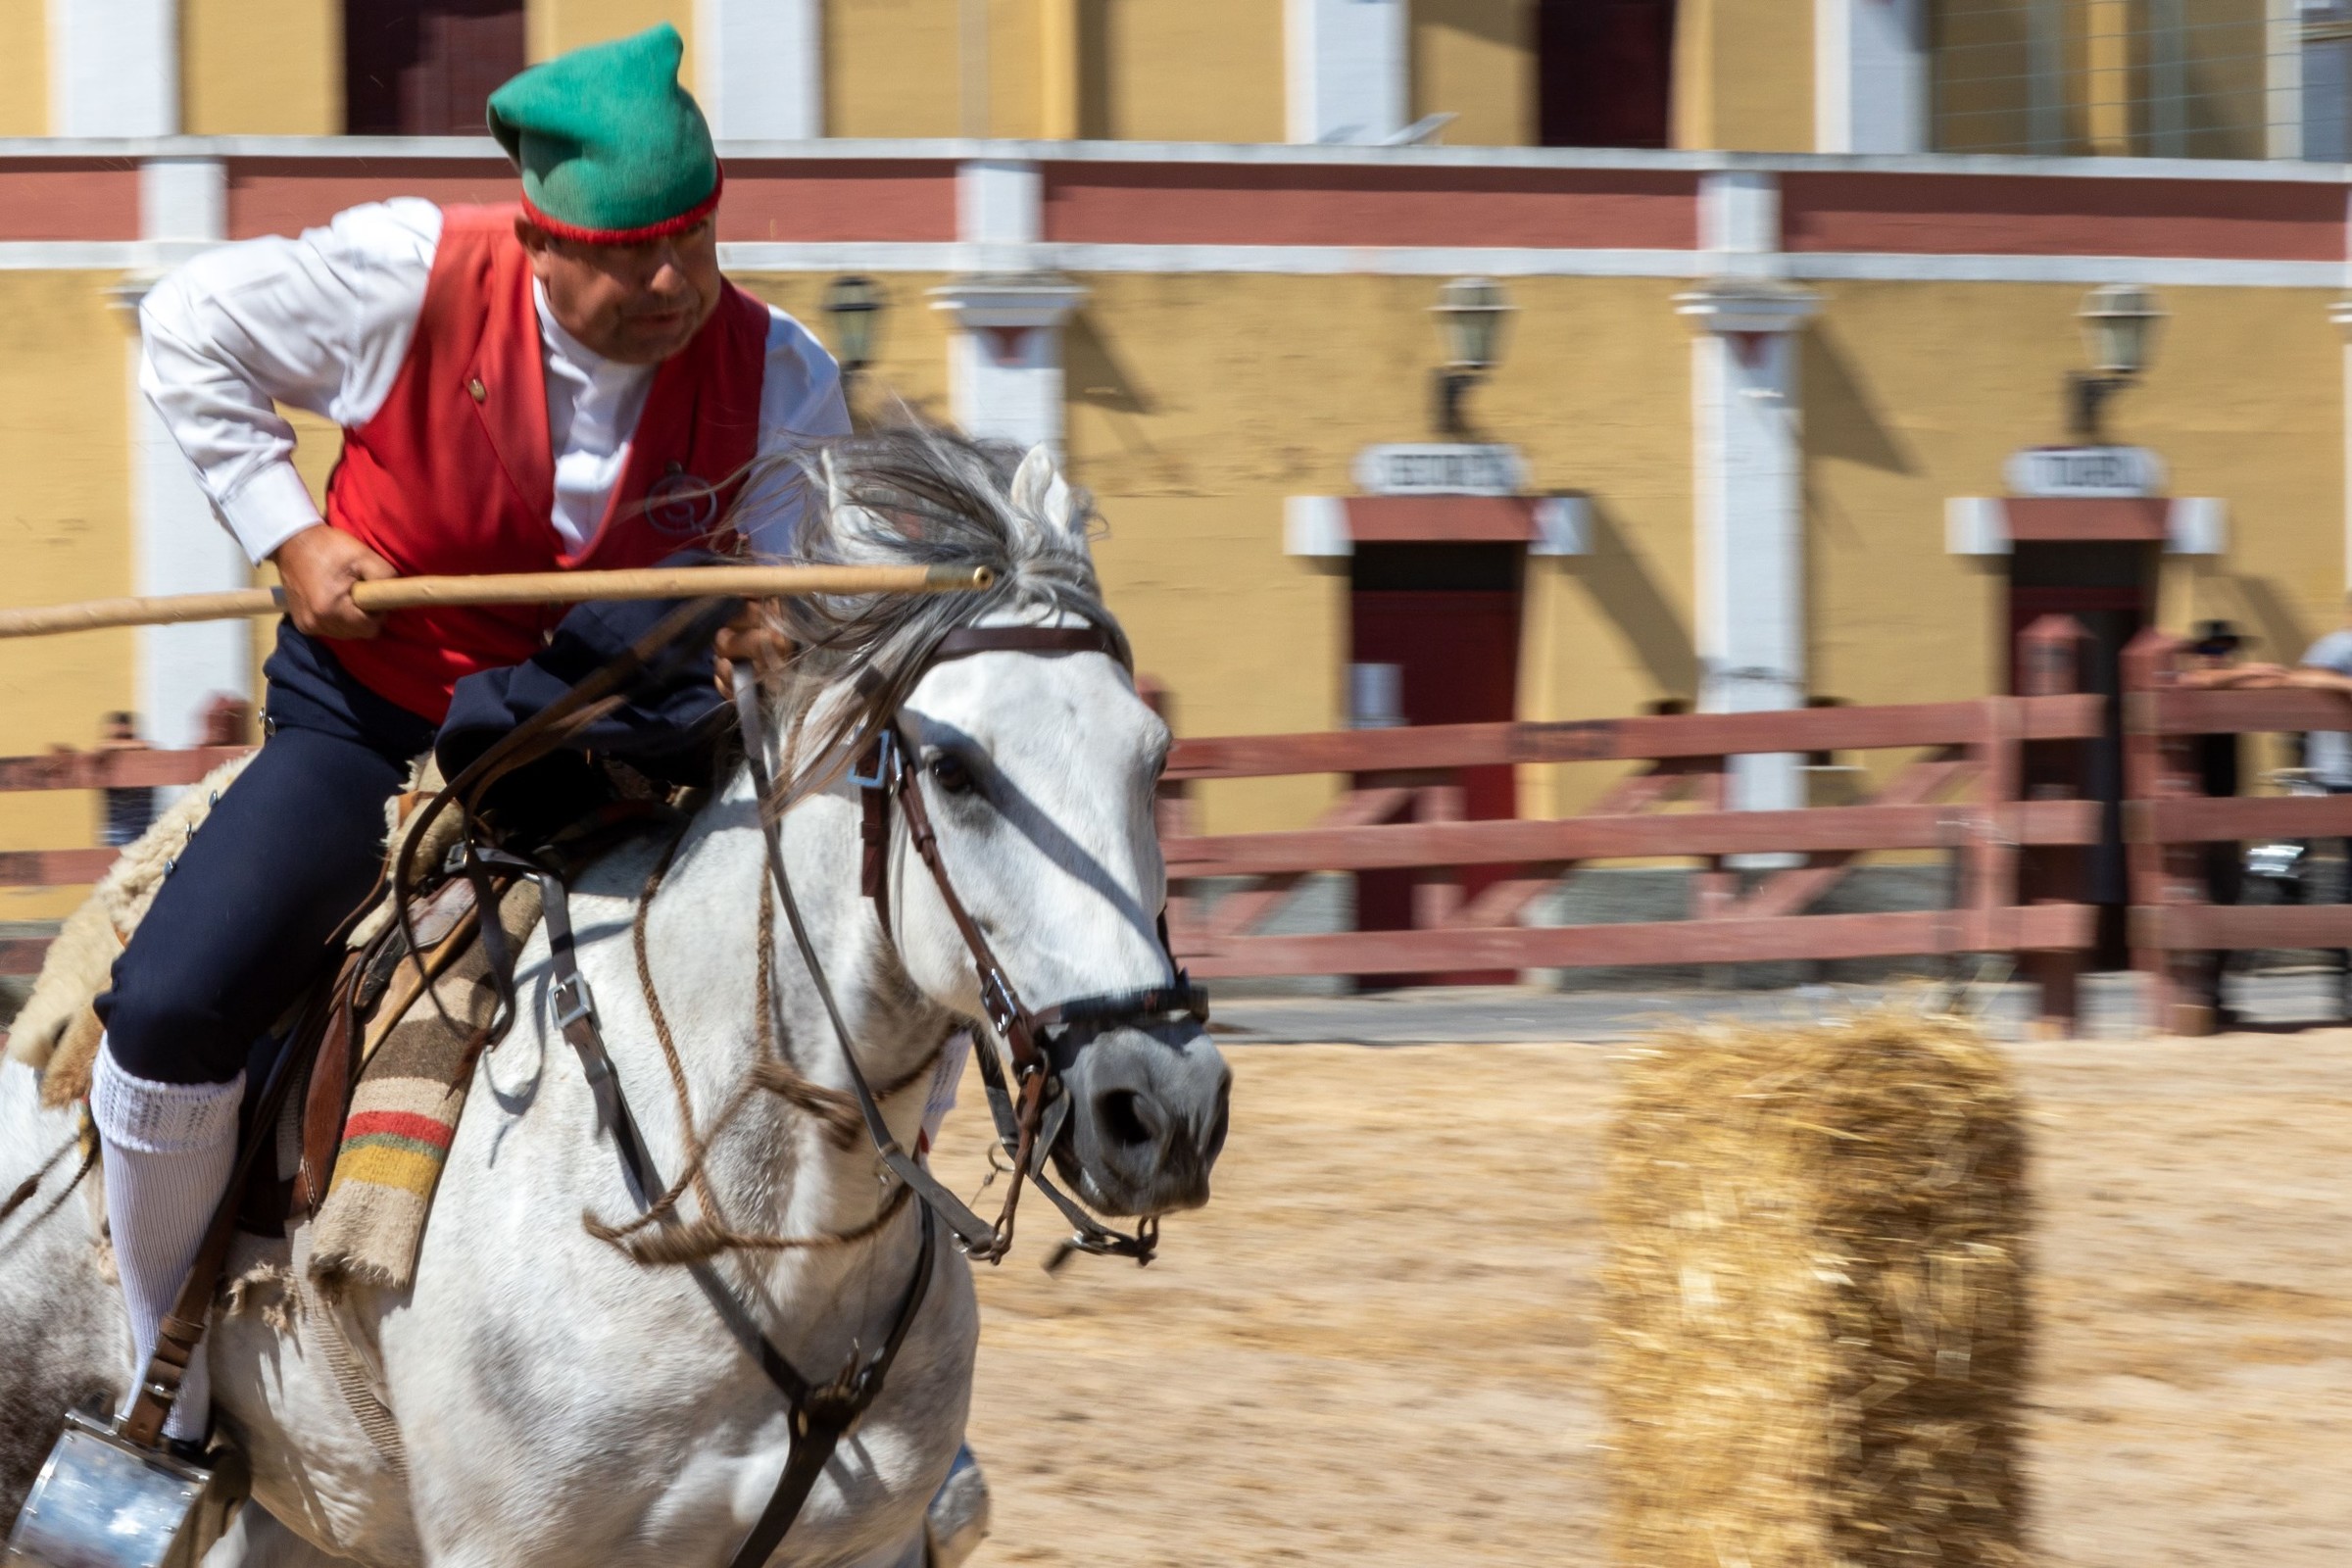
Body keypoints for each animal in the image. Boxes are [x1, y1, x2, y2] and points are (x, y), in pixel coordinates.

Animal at [0, 432, 1242, 1568]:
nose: (1165, 1106)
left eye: (1155, 755)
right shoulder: (506, 1546)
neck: (774, 1236)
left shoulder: (869, 1543)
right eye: (955, 771)